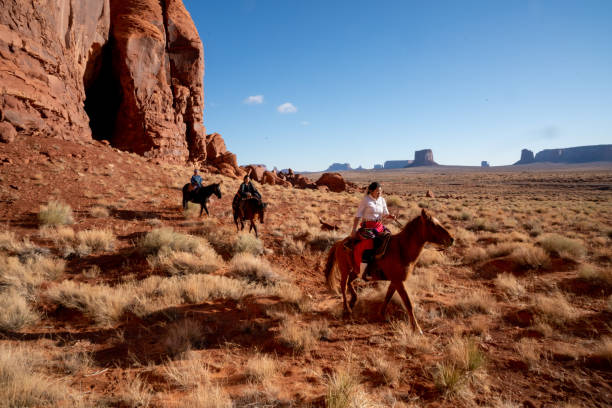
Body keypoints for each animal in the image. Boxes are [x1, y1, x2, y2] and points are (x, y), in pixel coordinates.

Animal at [322, 209, 452, 334]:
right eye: (434, 225)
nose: (451, 239)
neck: (401, 249)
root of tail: (339, 243)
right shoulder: (398, 281)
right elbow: (408, 303)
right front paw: (416, 328)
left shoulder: (395, 281)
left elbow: (388, 296)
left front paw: (381, 314)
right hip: (345, 269)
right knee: (343, 285)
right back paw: (347, 308)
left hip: (355, 270)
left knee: (349, 282)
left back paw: (353, 300)